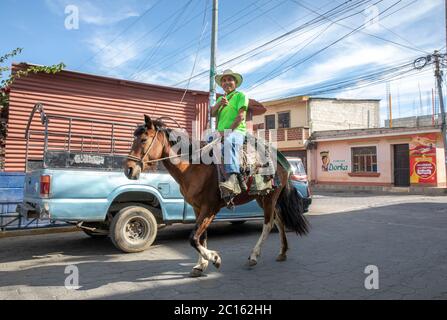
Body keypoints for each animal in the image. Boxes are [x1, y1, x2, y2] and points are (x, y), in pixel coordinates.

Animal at [124, 115, 310, 278]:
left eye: (143, 140)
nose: (129, 170)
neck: (193, 168)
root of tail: (282, 161)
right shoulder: (197, 208)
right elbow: (201, 236)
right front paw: (200, 265)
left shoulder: (210, 208)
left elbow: (193, 238)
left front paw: (214, 258)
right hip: (261, 197)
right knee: (279, 220)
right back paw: (282, 252)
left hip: (270, 197)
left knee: (269, 223)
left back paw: (254, 256)